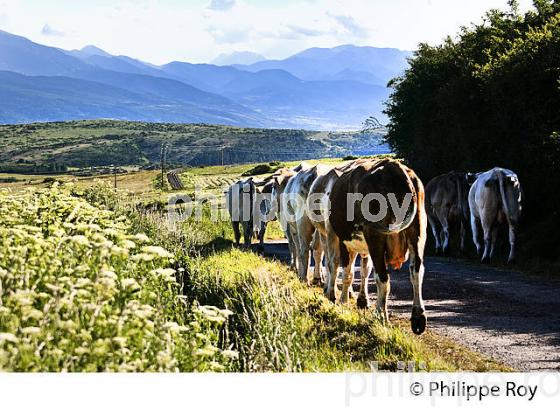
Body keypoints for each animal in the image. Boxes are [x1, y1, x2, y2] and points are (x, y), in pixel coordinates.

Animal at [328, 159, 428, 334]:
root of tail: (393, 166)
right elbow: (364, 271)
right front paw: (360, 301)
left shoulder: (344, 241)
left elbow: (348, 273)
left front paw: (343, 303)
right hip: (418, 228)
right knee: (416, 271)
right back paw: (418, 318)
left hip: (376, 235)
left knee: (383, 276)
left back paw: (380, 315)